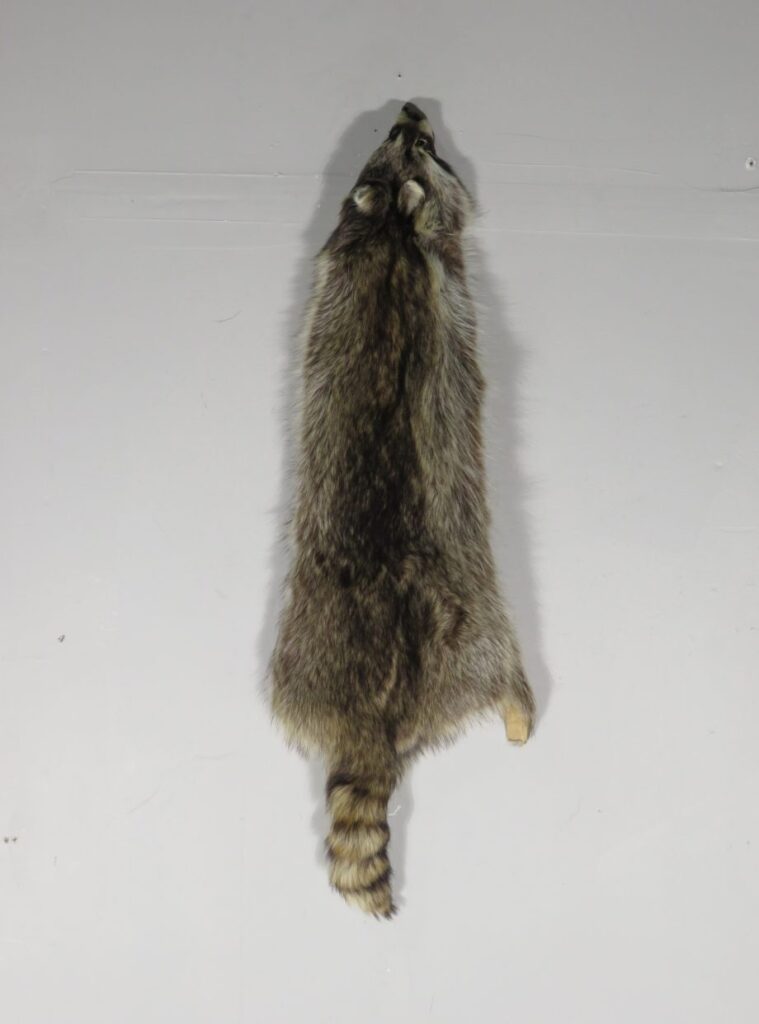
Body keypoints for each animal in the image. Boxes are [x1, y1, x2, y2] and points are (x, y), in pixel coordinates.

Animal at [270, 102, 535, 918]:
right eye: (419, 144)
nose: (412, 106)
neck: (389, 223)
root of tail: (368, 715)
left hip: (297, 658)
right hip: (478, 634)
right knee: (504, 669)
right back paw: (521, 708)